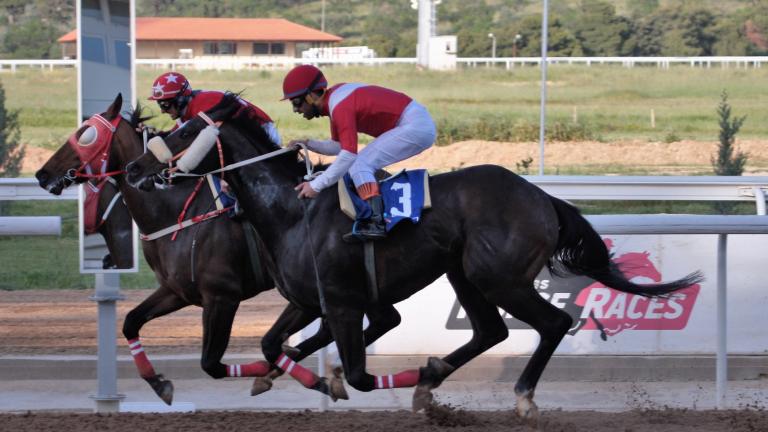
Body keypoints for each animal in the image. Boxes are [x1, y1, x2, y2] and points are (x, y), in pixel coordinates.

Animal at [38, 93, 402, 404]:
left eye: (85, 135)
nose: (42, 174)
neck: (173, 211)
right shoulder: (178, 291)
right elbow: (131, 322)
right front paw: (158, 382)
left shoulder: (221, 296)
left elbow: (211, 363)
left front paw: (269, 373)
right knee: (370, 321)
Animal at [124, 94, 704, 422]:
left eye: (182, 131)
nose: (135, 170)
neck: (291, 209)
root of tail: (543, 198)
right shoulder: (310, 298)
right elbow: (276, 343)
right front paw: (293, 376)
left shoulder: (336, 301)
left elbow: (358, 372)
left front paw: (354, 380)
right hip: (465, 274)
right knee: (491, 331)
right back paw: (435, 382)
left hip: (499, 276)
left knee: (554, 323)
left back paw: (516, 395)